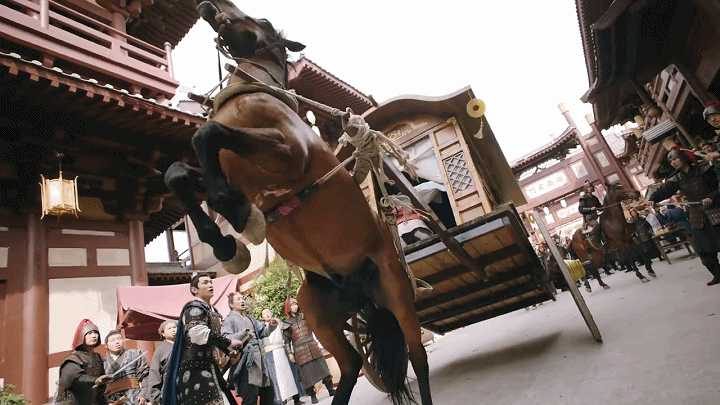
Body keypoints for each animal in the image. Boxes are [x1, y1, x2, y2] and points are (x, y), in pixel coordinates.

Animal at [166, 1, 430, 402]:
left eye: (261, 20)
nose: (211, 6)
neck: (247, 97)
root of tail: (358, 290)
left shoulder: (288, 153)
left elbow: (208, 133)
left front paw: (235, 212)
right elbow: (177, 173)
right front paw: (225, 240)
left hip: (396, 290)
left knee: (417, 356)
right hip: (317, 311)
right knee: (351, 365)